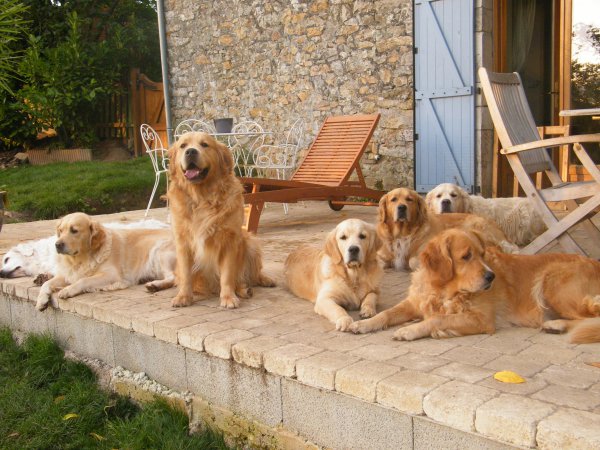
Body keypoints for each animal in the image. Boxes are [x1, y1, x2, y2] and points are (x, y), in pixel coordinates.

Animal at [35, 213, 176, 312]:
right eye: (60, 230)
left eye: (74, 230)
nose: (57, 245)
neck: (81, 259)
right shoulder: (67, 275)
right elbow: (47, 284)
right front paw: (41, 300)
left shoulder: (112, 275)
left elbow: (84, 280)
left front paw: (68, 290)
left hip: (160, 251)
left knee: (174, 278)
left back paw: (155, 285)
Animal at [162, 132, 274, 308]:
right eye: (183, 145)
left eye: (205, 144)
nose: (191, 152)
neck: (202, 198)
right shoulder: (183, 243)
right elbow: (186, 275)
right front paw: (183, 297)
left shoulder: (229, 241)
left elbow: (227, 275)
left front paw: (228, 298)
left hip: (250, 243)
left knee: (251, 275)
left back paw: (257, 284)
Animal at [350, 230, 600, 342]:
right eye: (466, 256)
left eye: (482, 254)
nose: (491, 277)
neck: (443, 289)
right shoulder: (413, 302)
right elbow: (387, 314)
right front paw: (365, 323)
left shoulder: (482, 319)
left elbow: (438, 319)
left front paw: (410, 330)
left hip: (551, 280)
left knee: (590, 317)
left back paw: (556, 324)